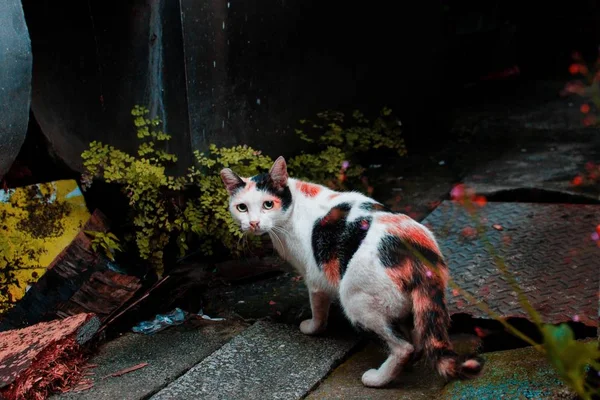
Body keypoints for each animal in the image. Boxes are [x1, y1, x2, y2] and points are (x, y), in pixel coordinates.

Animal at [220, 156, 482, 388]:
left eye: (268, 204)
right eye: (241, 207)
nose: (253, 223)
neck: (294, 206)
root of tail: (417, 254)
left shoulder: (315, 278)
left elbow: (318, 310)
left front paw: (311, 328)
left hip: (357, 300)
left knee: (403, 347)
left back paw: (378, 379)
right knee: (418, 337)